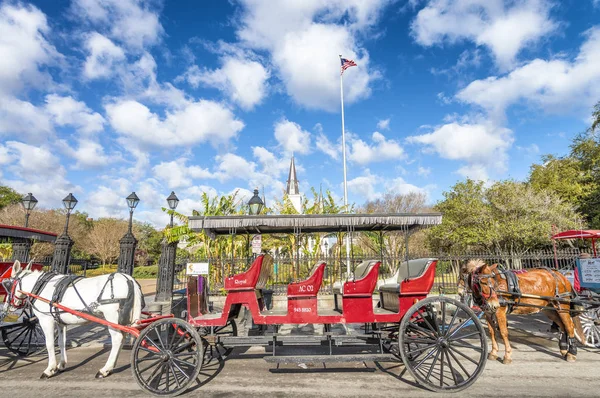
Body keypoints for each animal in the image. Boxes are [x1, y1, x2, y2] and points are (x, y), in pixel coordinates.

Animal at [4, 262, 144, 380]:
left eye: (8, 285)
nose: (7, 306)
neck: (41, 287)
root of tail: (129, 279)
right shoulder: (60, 322)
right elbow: (61, 342)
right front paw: (61, 365)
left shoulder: (46, 320)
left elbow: (49, 344)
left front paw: (50, 369)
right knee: (123, 337)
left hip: (112, 317)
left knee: (117, 339)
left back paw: (105, 369)